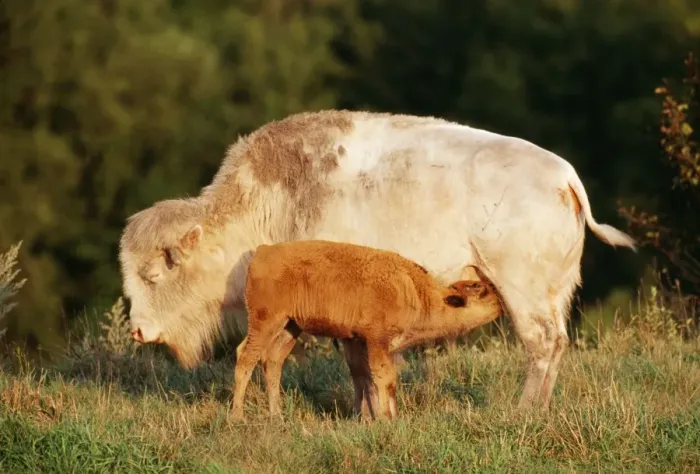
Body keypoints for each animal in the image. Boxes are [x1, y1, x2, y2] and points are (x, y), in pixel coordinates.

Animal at [231, 240, 503, 421]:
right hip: (265, 322)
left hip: (290, 327)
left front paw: (380, 418)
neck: (414, 291)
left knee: (272, 361)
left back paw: (276, 416)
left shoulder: (363, 343)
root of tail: (263, 251)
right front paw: (385, 419)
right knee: (245, 357)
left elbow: (371, 379)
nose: (500, 299)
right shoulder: (376, 340)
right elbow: (381, 377)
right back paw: (237, 417)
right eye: (479, 288)